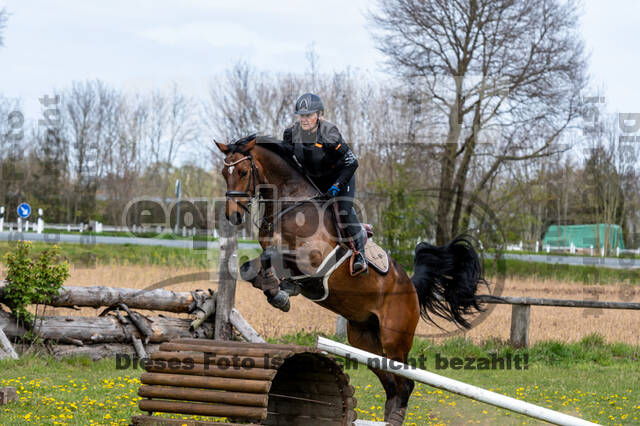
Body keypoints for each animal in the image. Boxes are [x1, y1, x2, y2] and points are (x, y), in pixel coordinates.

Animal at [215, 135, 484, 424]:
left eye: (243, 172)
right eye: (224, 173)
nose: (233, 216)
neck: (290, 204)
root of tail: (411, 286)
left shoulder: (313, 257)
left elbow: (273, 256)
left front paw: (283, 291)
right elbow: (251, 266)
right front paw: (277, 292)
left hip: (394, 339)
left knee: (405, 383)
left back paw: (394, 418)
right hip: (363, 340)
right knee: (391, 383)